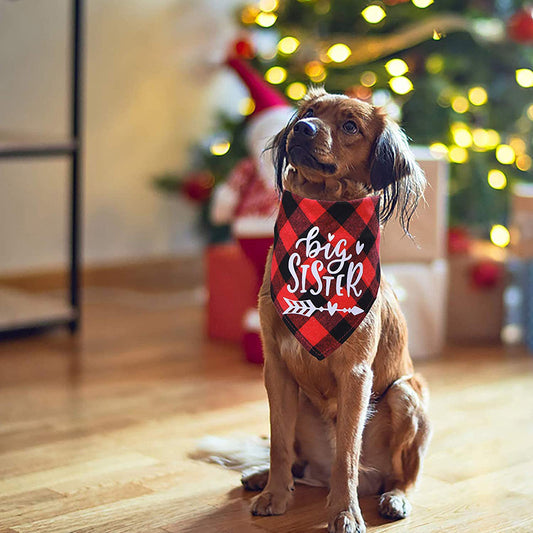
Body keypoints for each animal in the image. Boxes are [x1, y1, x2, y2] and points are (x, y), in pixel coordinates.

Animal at [243, 88, 430, 532]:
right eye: (310, 112)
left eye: (350, 126)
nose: (302, 128)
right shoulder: (276, 368)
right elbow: (278, 443)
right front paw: (274, 495)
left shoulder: (356, 375)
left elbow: (346, 455)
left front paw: (344, 512)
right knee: (294, 459)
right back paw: (264, 477)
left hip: (406, 394)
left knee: (406, 474)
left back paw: (394, 497)